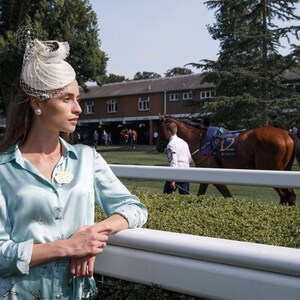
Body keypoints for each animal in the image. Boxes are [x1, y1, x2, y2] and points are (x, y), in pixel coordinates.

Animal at [157, 113, 300, 205]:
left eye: (159, 129)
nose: (158, 146)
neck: (200, 140)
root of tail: (286, 133)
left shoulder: (212, 175)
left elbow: (225, 195)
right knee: (290, 196)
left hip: (270, 170)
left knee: (285, 196)